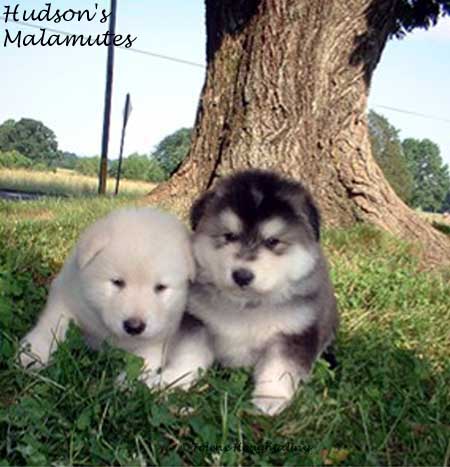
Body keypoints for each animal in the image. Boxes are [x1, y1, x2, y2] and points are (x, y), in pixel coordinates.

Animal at [19, 209, 213, 392]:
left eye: (160, 287)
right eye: (117, 282)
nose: (134, 326)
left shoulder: (158, 337)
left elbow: (144, 359)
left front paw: (128, 382)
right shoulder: (66, 297)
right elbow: (52, 324)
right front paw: (33, 353)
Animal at [186, 171, 338, 416]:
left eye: (273, 241)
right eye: (229, 236)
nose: (242, 276)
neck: (247, 304)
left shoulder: (292, 333)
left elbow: (279, 369)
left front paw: (270, 400)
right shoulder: (197, 320)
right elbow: (185, 356)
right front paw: (167, 384)